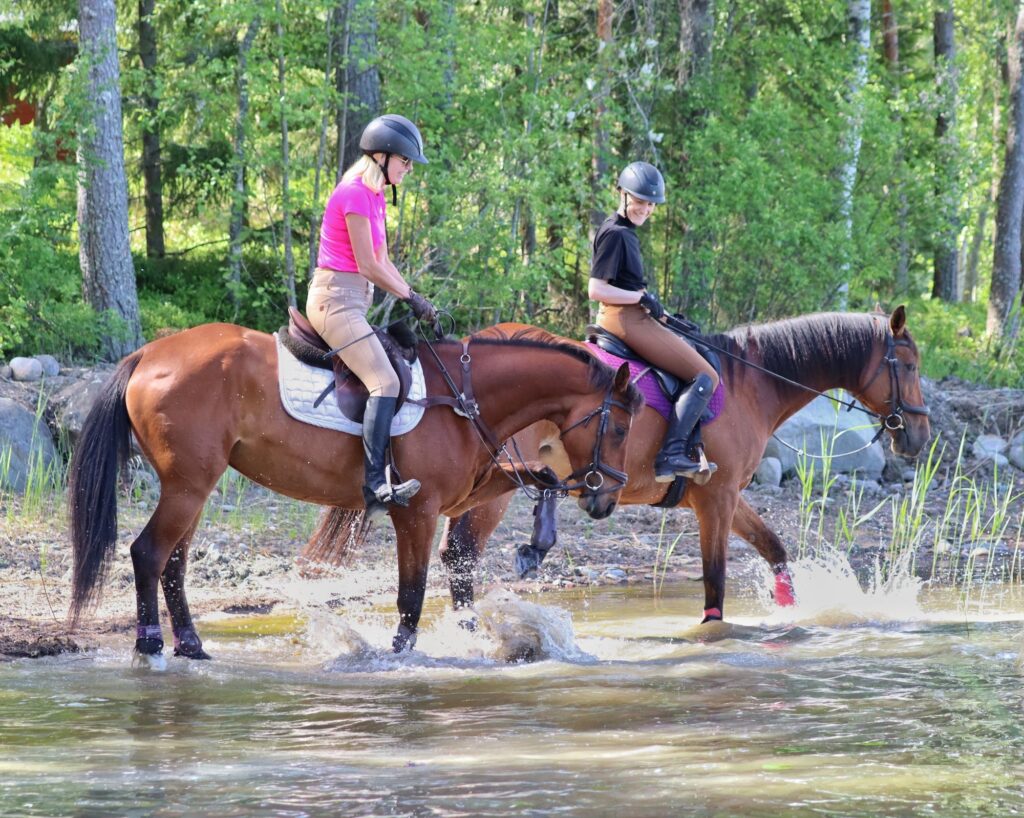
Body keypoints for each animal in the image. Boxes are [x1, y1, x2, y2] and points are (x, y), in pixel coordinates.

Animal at [67, 322, 643, 657]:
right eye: (618, 428)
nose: (605, 500)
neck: (464, 399)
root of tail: (147, 355)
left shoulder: (469, 491)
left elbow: (543, 479)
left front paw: (536, 542)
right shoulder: (419, 511)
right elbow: (412, 595)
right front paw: (400, 655)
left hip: (193, 489)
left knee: (174, 563)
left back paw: (190, 645)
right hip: (187, 487)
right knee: (148, 553)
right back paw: (150, 645)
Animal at [429, 307, 931, 622]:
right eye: (908, 366)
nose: (919, 437)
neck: (750, 385)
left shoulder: (725, 496)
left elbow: (773, 549)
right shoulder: (717, 500)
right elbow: (715, 582)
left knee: (456, 555)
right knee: (462, 553)